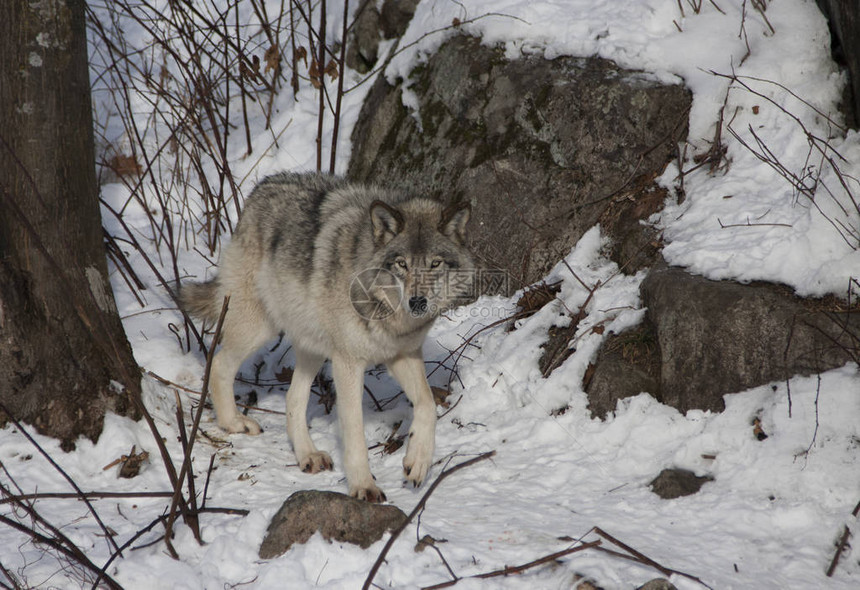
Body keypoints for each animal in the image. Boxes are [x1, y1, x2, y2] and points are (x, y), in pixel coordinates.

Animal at [183, 172, 478, 504]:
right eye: (401, 263)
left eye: (435, 263)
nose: (417, 303)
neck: (387, 311)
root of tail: (261, 188)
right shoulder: (347, 363)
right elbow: (354, 430)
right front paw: (363, 486)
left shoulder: (402, 354)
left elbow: (427, 405)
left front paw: (417, 463)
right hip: (259, 327)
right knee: (219, 363)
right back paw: (233, 422)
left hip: (312, 347)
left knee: (293, 397)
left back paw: (307, 455)